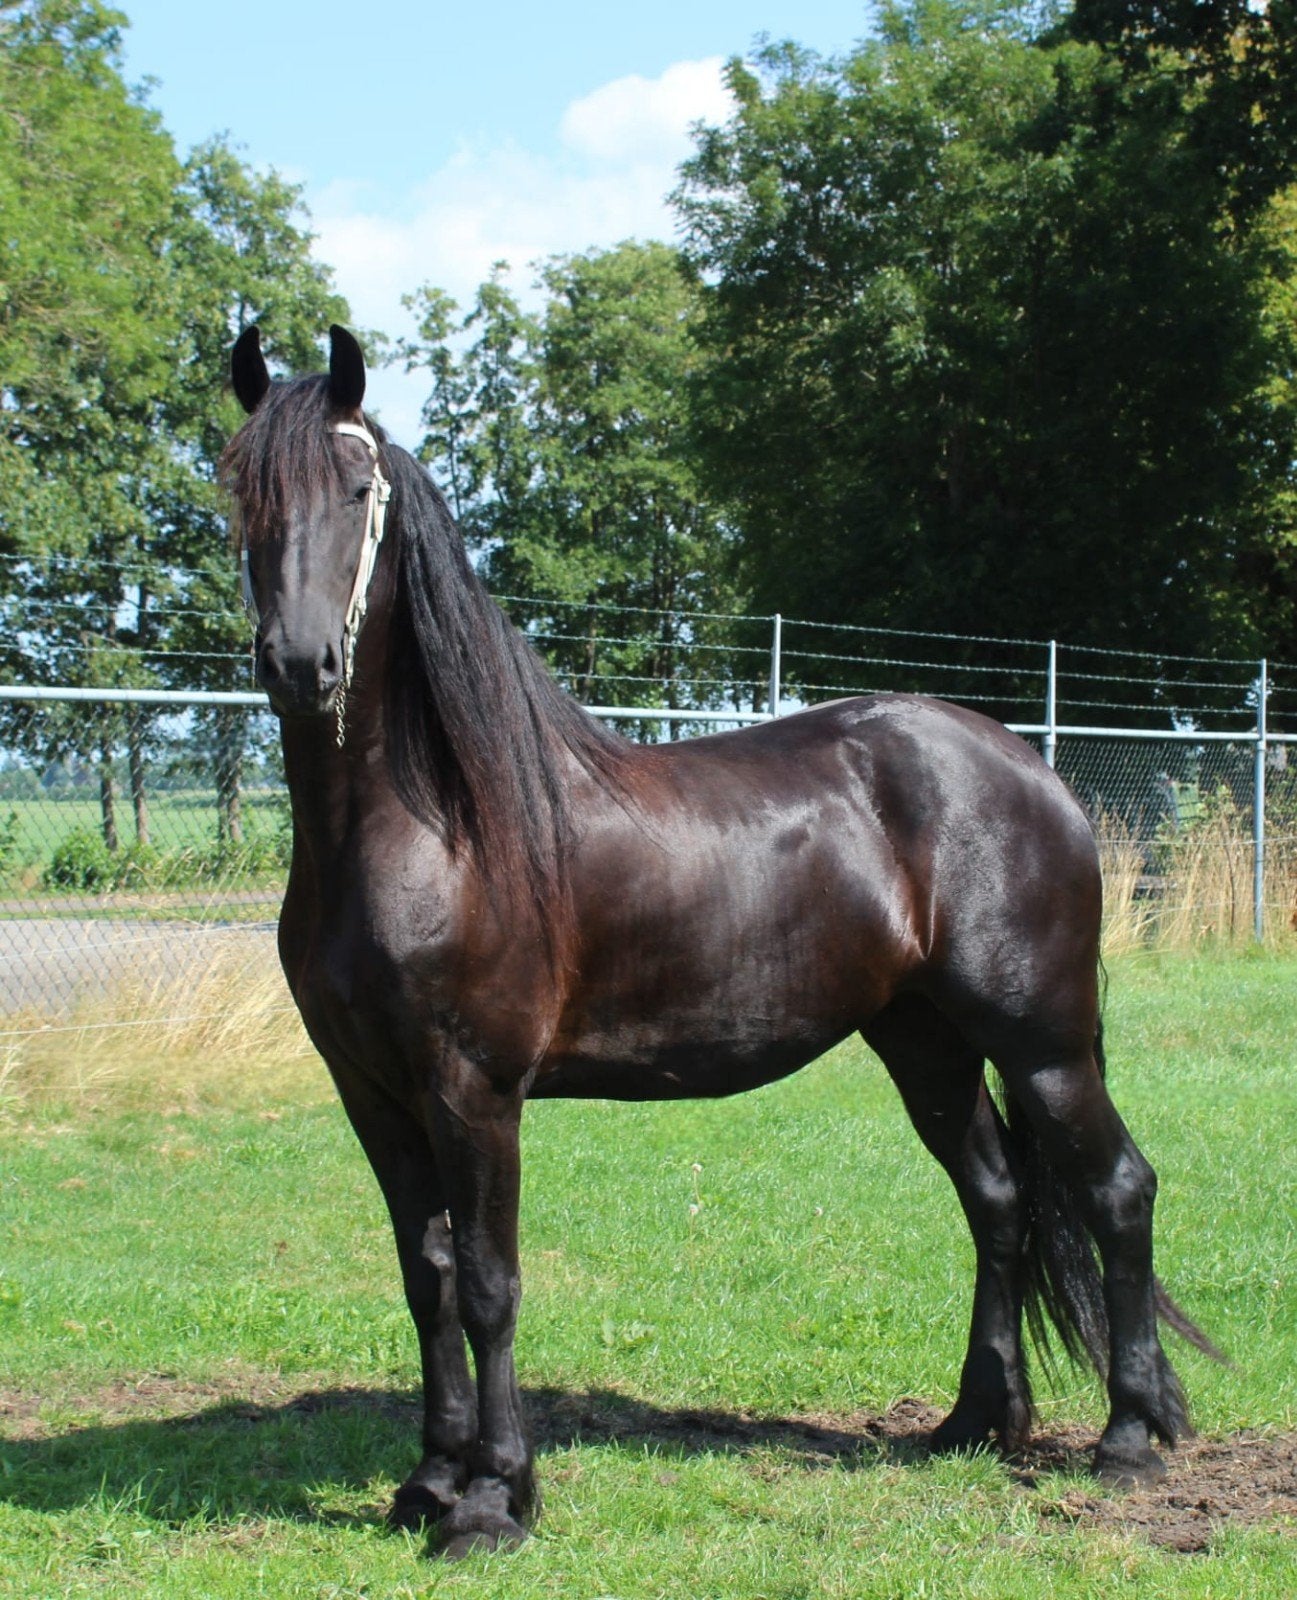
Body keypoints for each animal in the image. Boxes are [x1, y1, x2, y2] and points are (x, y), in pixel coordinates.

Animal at [222, 323, 1216, 1557]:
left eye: (357, 490)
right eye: (240, 489)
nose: (298, 665)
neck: (428, 826)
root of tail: (1032, 770)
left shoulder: (473, 1090)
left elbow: (491, 1283)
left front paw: (496, 1499)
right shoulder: (373, 1092)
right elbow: (427, 1276)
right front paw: (429, 1482)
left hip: (1041, 1042)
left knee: (1115, 1190)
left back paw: (1127, 1436)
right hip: (923, 1040)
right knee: (995, 1201)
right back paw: (975, 1422)